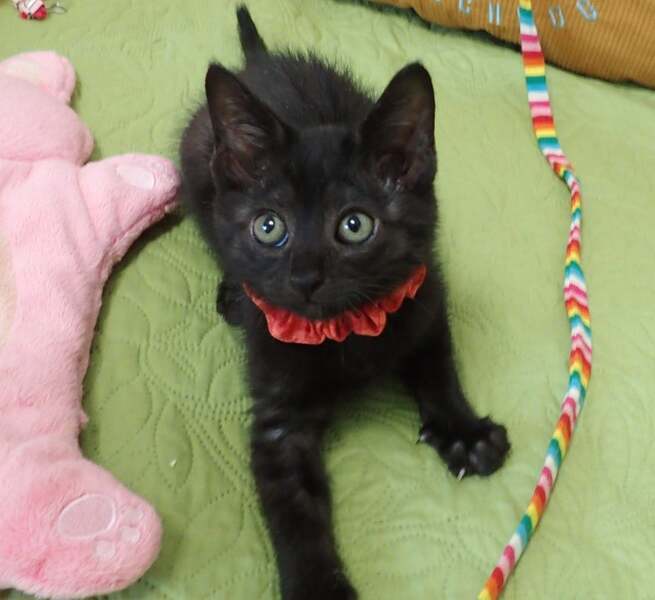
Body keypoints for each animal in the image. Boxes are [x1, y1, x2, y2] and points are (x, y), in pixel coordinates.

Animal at [179, 6, 510, 600]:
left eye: (355, 225)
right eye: (269, 227)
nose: (305, 277)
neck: (346, 330)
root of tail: (261, 61)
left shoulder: (424, 297)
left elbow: (438, 369)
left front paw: (463, 431)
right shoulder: (277, 420)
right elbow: (294, 512)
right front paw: (320, 586)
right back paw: (232, 293)